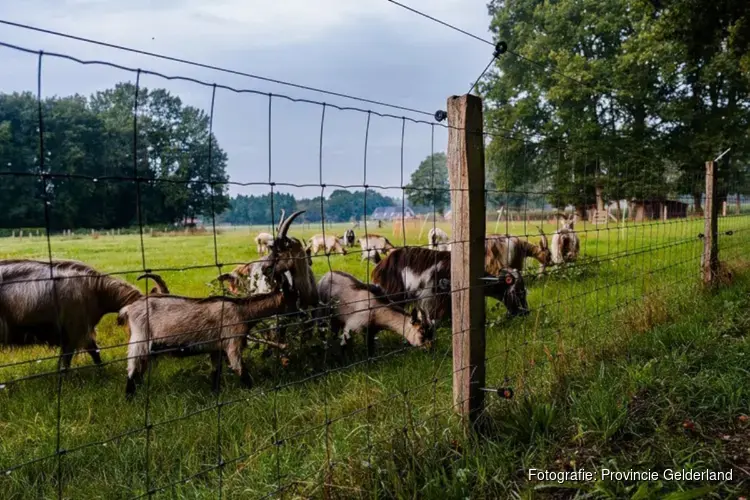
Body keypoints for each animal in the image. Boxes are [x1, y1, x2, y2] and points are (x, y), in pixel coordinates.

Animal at [0, 260, 143, 370]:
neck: (97, 290)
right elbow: (66, 362)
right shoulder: (75, 331)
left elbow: (94, 353)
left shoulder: (82, 331)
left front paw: (102, 372)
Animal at [119, 272, 298, 396]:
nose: (299, 313)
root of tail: (129, 309)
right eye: (293, 299)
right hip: (140, 339)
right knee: (132, 369)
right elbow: (241, 370)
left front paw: (214, 395)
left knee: (139, 370)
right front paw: (254, 392)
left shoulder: (216, 348)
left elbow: (216, 373)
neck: (243, 311)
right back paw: (130, 398)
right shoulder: (232, 342)